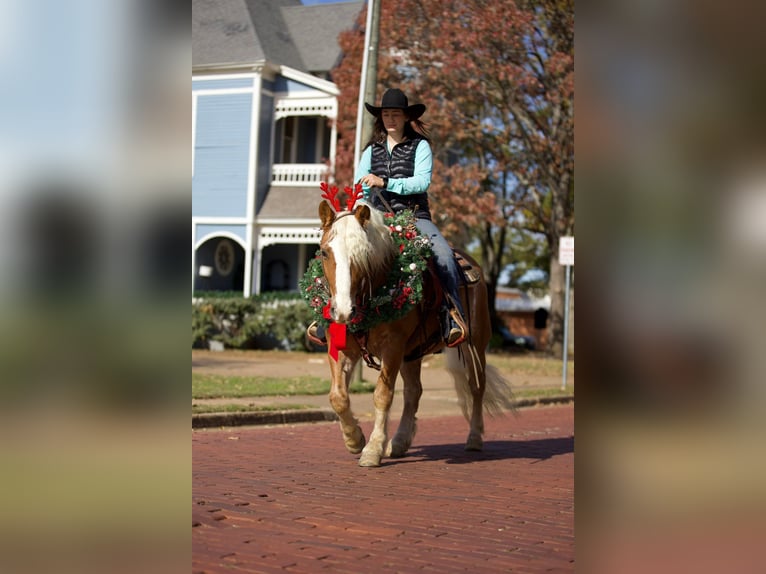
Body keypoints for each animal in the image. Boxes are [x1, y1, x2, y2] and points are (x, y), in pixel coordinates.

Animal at [312, 197, 516, 468]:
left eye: (364, 253)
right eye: (325, 252)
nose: (343, 310)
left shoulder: (393, 347)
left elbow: (383, 395)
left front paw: (372, 449)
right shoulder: (342, 348)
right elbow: (337, 396)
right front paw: (354, 439)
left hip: (475, 345)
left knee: (476, 386)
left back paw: (474, 438)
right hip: (413, 353)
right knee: (413, 391)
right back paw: (399, 442)